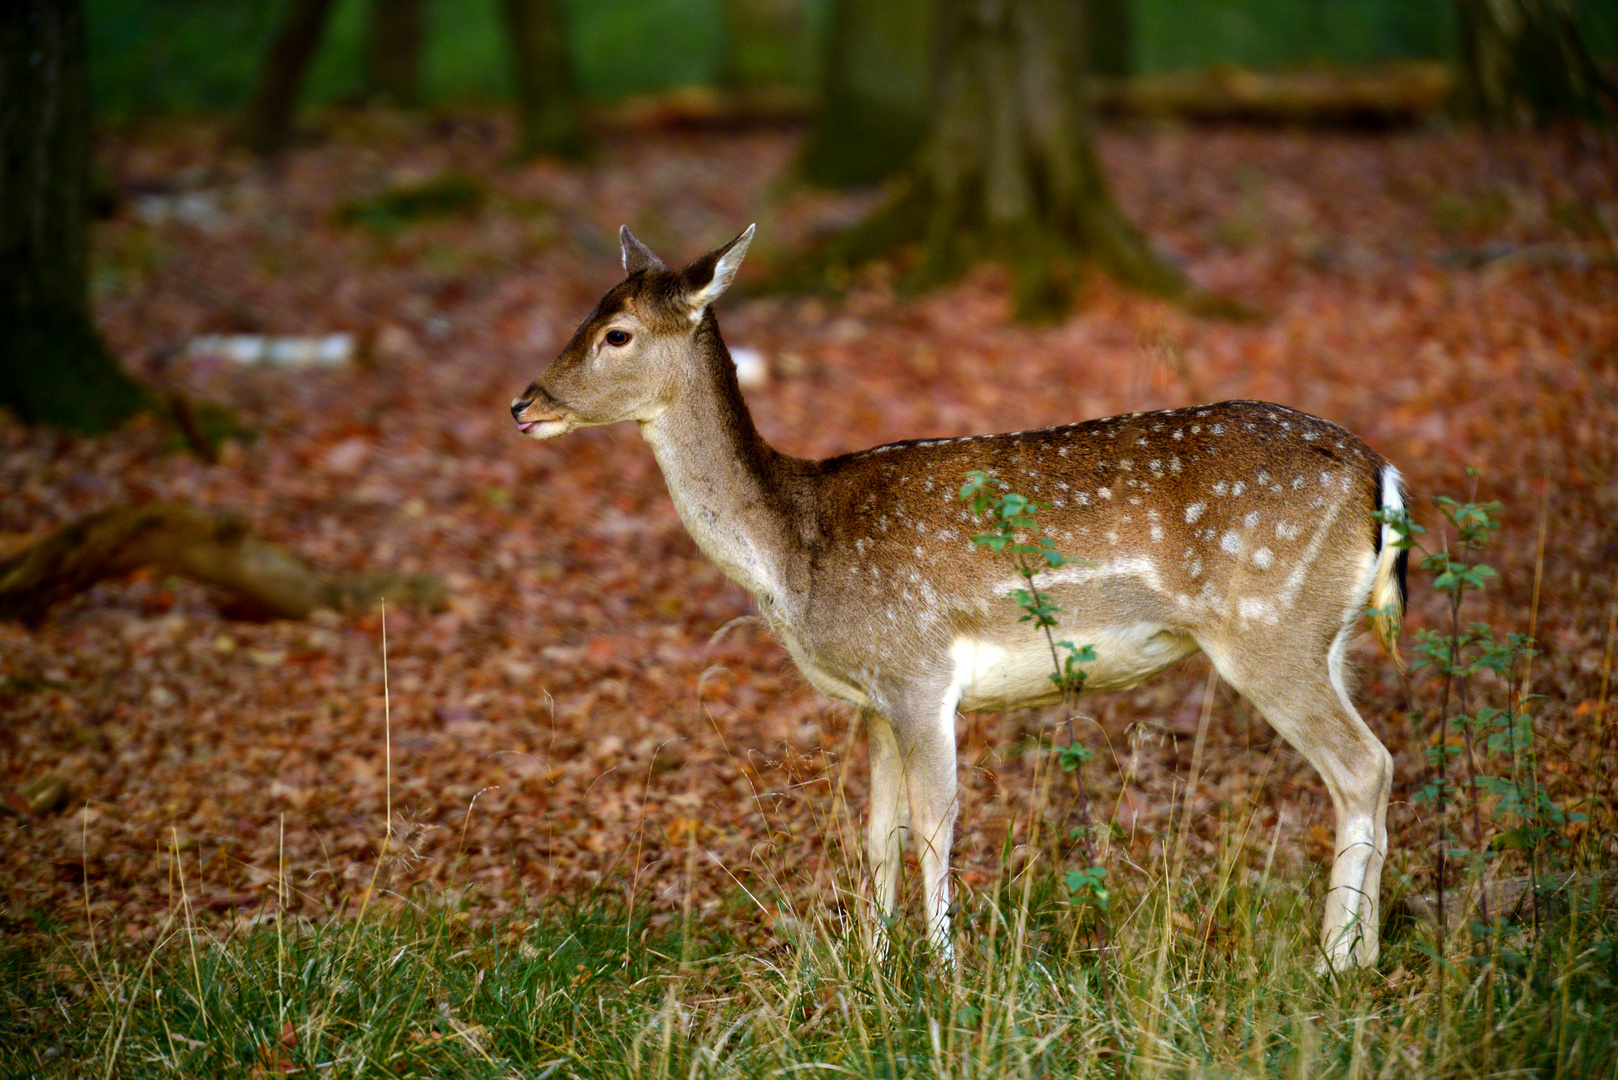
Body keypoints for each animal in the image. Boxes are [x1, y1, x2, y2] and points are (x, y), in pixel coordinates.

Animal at [514, 226, 1404, 971]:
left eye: (617, 332)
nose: (524, 404)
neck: (793, 551)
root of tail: (1380, 477)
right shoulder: (872, 699)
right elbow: (878, 833)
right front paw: (872, 968)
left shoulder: (918, 672)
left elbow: (935, 826)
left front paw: (941, 976)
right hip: (1329, 638)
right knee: (1375, 766)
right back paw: (1362, 956)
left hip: (1270, 628)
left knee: (1362, 765)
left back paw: (1335, 963)